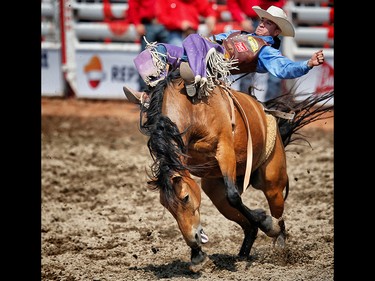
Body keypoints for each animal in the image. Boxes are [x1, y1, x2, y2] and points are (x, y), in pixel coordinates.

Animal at [134, 68, 334, 272]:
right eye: (166, 206)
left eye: (186, 197)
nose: (193, 239)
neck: (193, 109)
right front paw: (197, 256)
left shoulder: (225, 151)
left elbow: (234, 196)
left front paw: (267, 222)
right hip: (216, 192)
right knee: (247, 224)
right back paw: (243, 253)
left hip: (273, 183)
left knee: (276, 214)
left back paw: (279, 244)